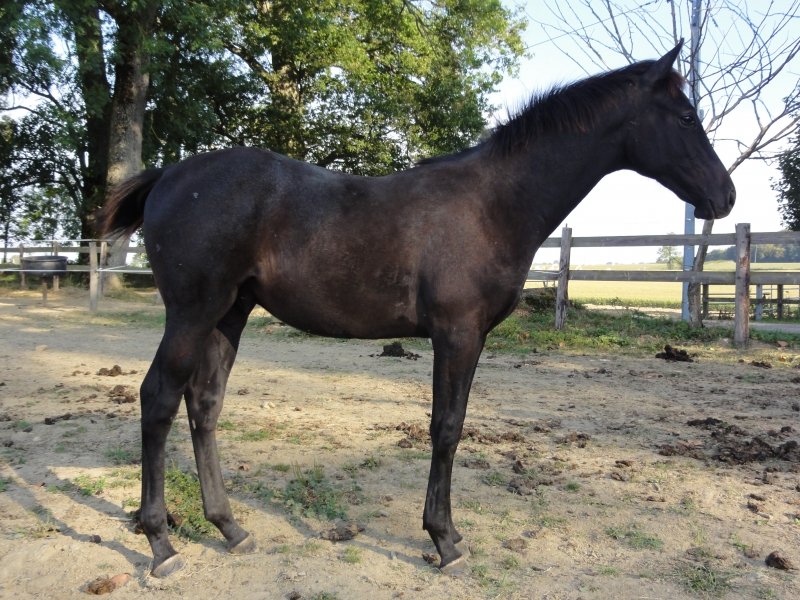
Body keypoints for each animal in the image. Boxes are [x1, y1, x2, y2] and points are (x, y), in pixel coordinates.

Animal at [96, 42, 735, 577]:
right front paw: (444, 539)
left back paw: (230, 528)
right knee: (158, 399)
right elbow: (446, 427)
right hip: (192, 312)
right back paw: (160, 544)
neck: (492, 205)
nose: (724, 196)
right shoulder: (457, 334)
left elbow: (450, 424)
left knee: (203, 405)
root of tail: (169, 175)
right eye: (685, 117)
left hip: (230, 313)